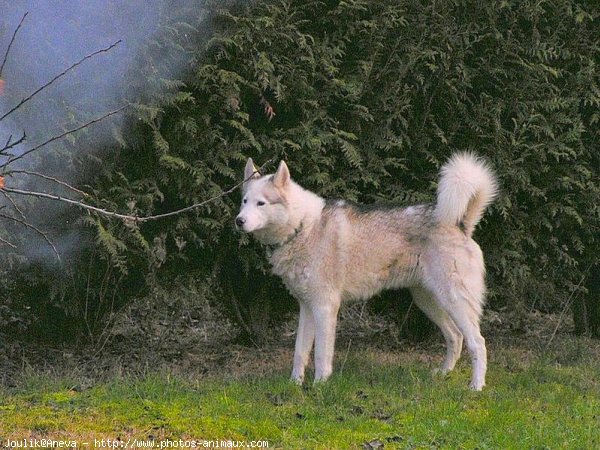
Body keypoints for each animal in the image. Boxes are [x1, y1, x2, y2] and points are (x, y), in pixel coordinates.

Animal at [234, 155, 496, 390]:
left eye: (261, 203)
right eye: (244, 201)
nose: (238, 221)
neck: (301, 227)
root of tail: (461, 225)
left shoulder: (325, 308)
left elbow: (321, 355)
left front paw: (319, 386)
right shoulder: (306, 308)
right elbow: (300, 352)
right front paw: (294, 385)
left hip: (453, 301)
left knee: (477, 342)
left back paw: (476, 386)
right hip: (429, 302)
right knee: (455, 337)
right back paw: (443, 374)